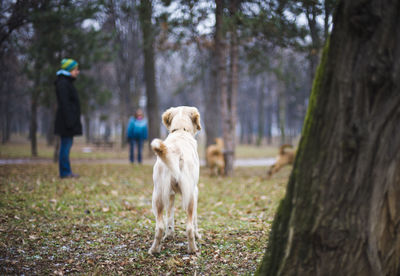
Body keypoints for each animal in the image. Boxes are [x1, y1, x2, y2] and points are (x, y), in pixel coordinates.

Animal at [148, 105, 202, 254]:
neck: (180, 131)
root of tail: (176, 151)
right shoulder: (195, 191)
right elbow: (195, 220)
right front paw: (198, 235)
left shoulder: (170, 193)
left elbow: (170, 217)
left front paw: (170, 235)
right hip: (189, 197)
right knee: (189, 226)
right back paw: (193, 249)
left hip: (158, 195)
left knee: (160, 226)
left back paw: (155, 249)